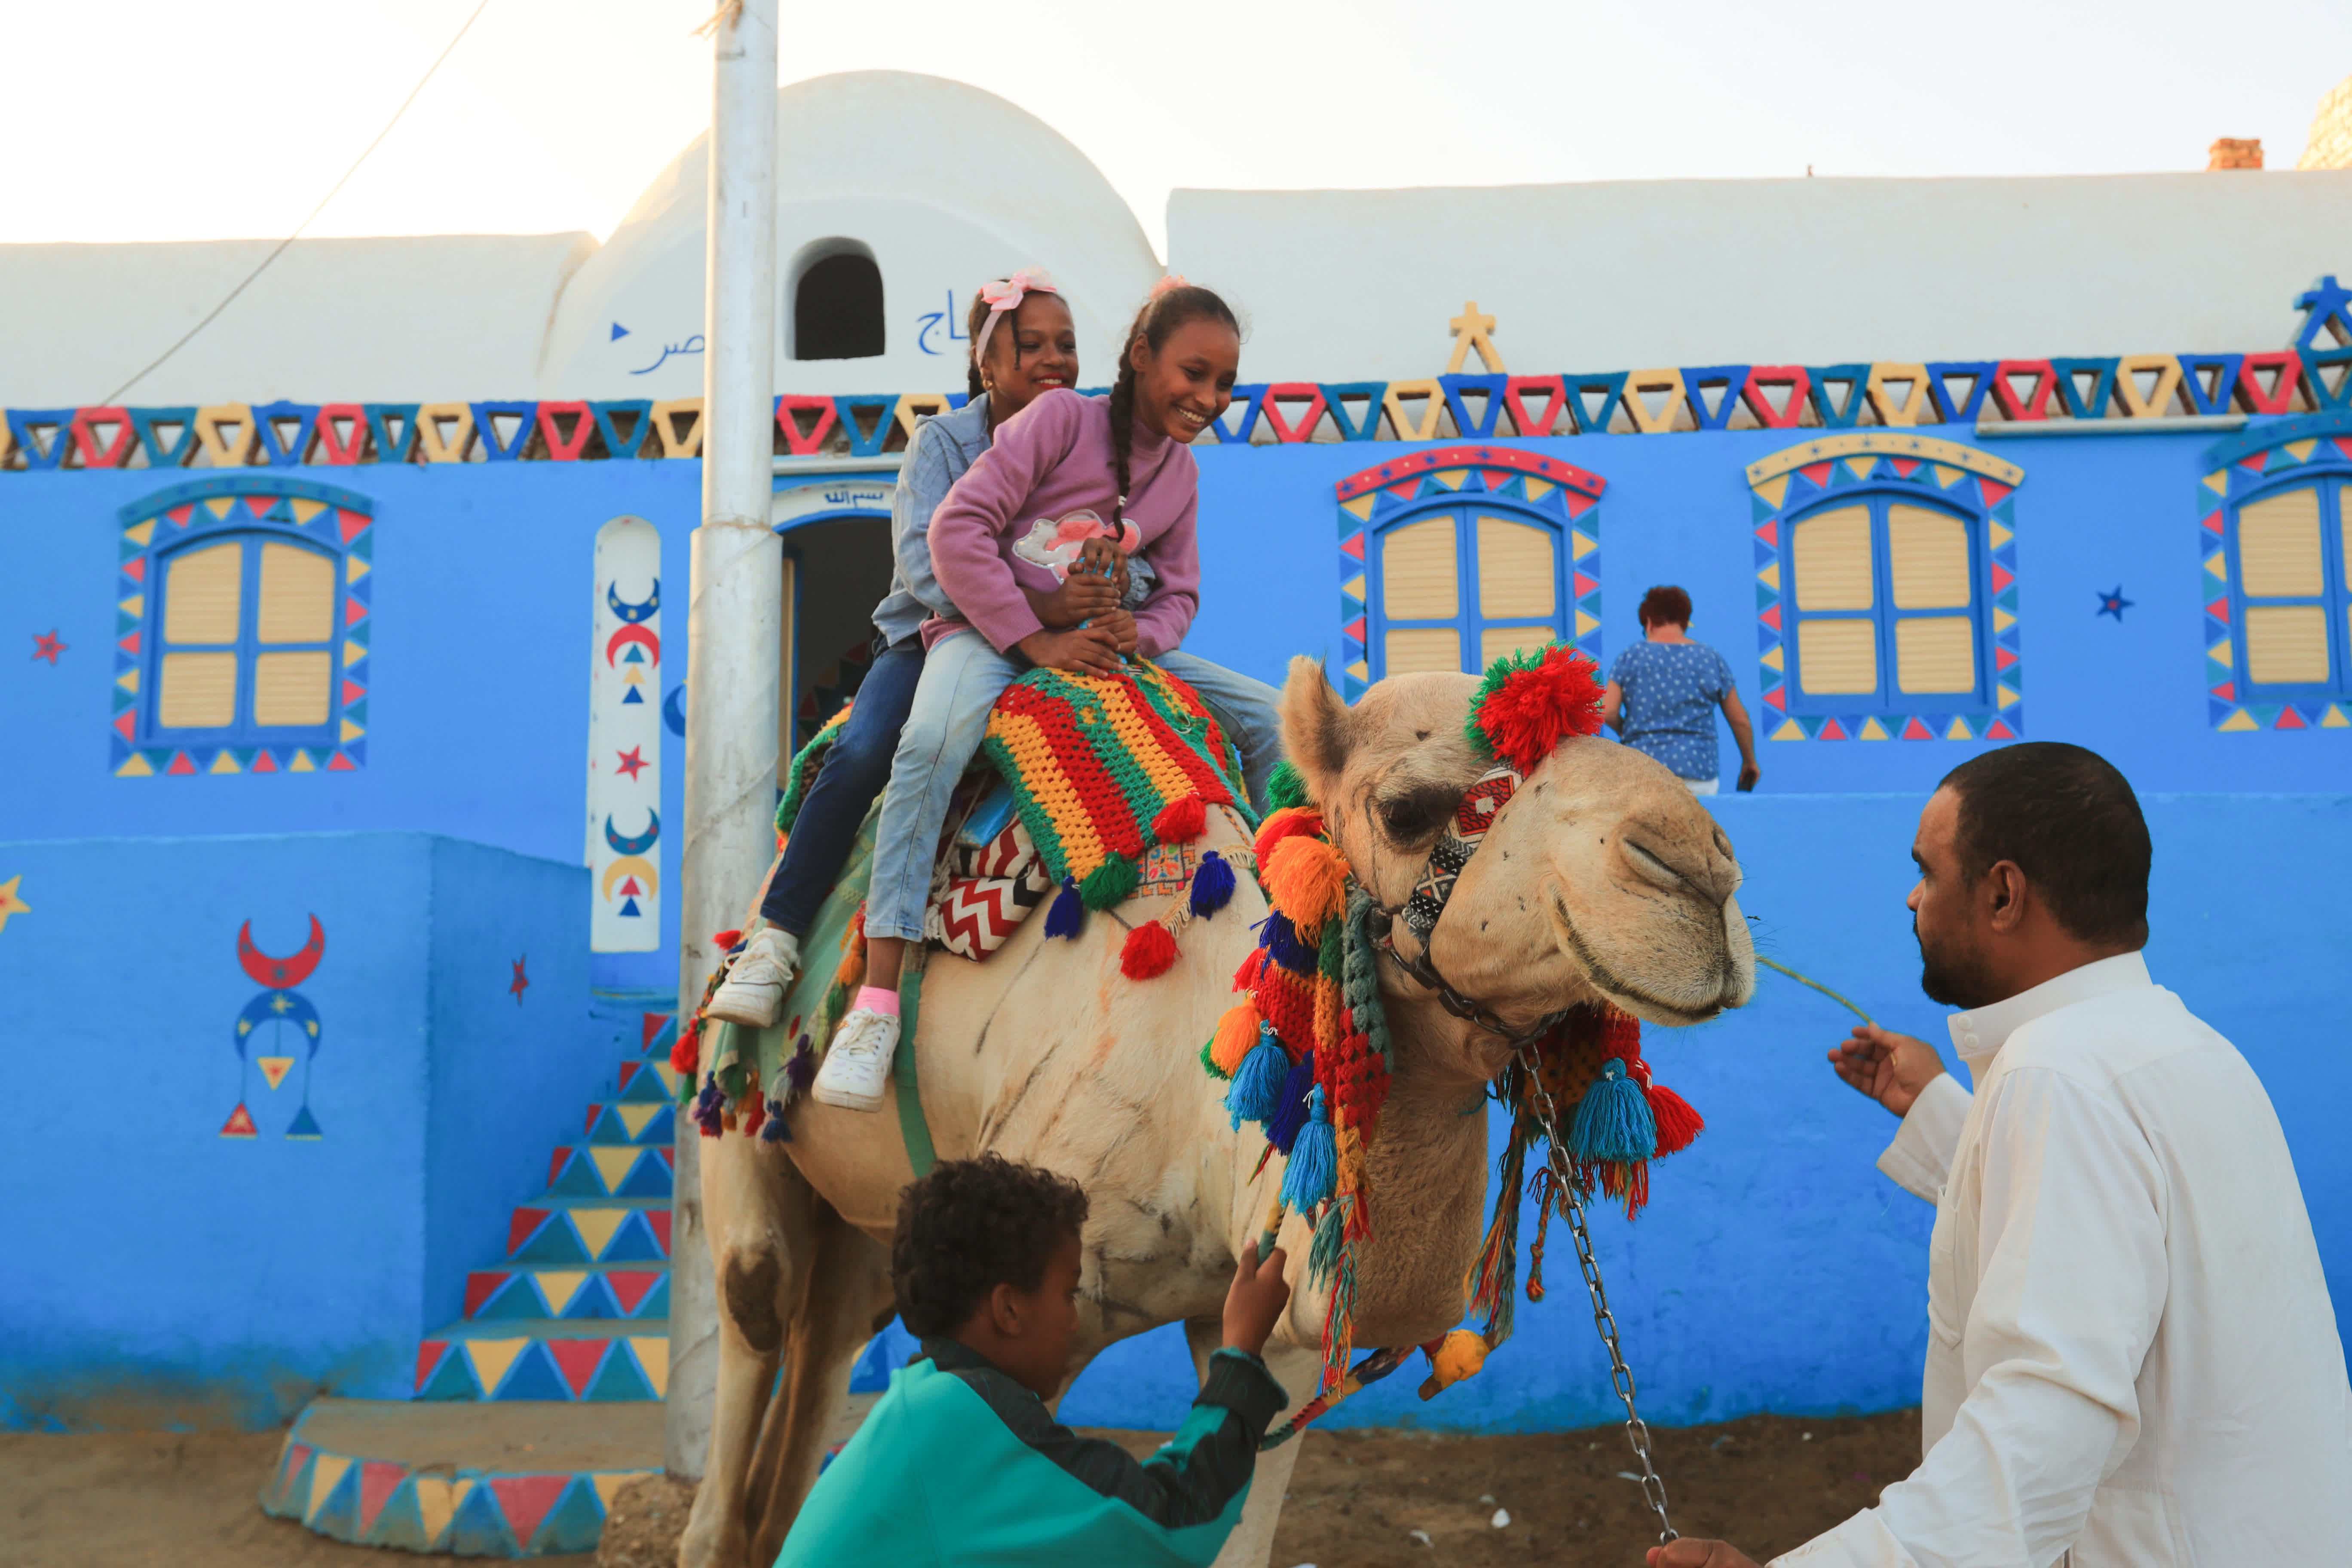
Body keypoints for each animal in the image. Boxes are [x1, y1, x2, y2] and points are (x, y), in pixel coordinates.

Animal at [677, 653, 1750, 1568]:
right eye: (1408, 808)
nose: (1698, 871)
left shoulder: (1264, 1332)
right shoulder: (1042, 1306)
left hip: (874, 1223)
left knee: (826, 1347)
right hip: (739, 1107)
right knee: (754, 1321)